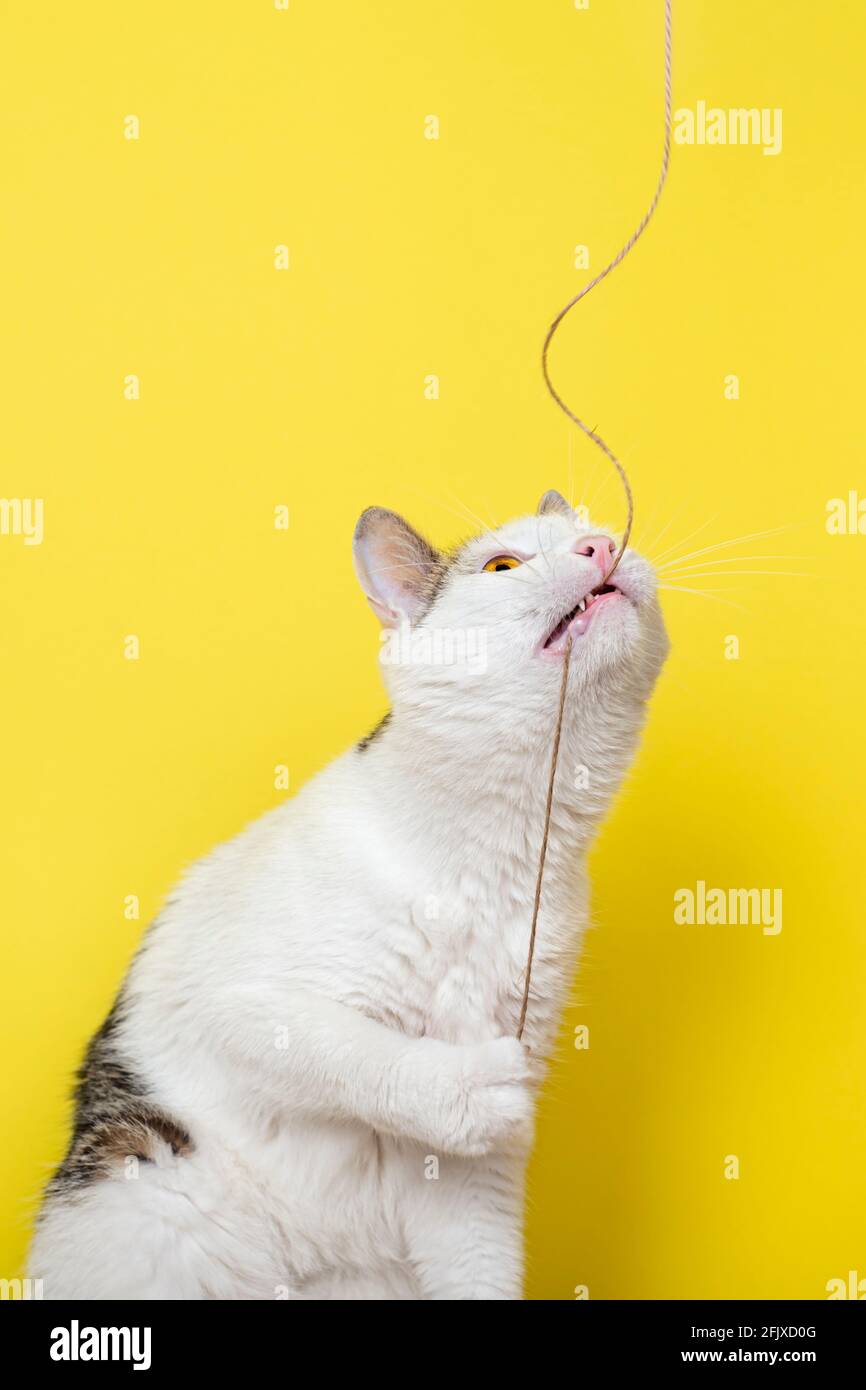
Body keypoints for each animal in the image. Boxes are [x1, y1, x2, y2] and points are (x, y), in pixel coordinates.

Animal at [30, 494, 670, 1295]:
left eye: (603, 533)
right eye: (502, 565)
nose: (599, 547)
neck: (499, 855)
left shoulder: (475, 1174)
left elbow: (478, 1254)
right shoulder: (233, 1007)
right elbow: (352, 1050)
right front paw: (463, 1086)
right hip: (140, 1188)